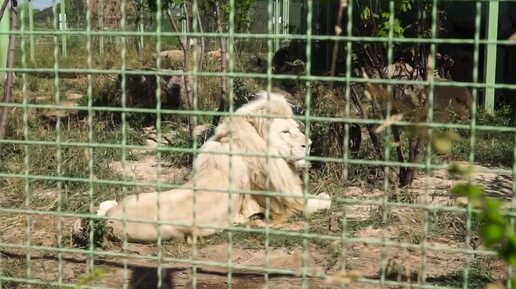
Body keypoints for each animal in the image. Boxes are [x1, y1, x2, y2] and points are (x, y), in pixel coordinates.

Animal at [104, 91, 330, 241]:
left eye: (296, 128)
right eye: (285, 132)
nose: (309, 144)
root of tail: (109, 220)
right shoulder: (280, 202)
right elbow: (320, 201)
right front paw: (325, 197)